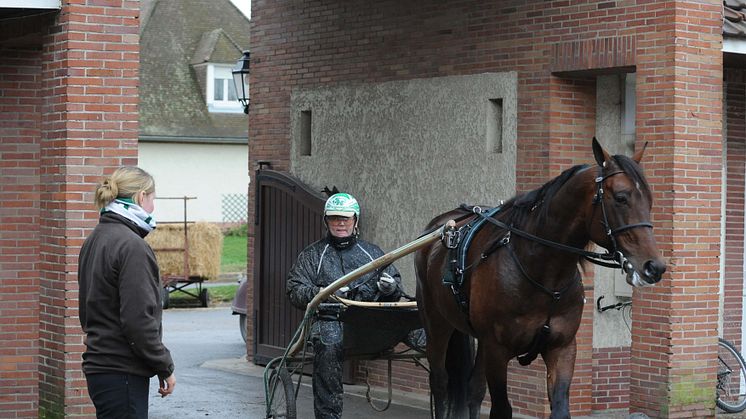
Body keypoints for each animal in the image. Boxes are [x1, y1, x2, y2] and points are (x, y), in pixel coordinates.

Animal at [412, 139, 664, 418]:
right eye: (621, 197)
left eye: (650, 200)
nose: (654, 266)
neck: (543, 274)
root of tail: (441, 226)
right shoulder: (498, 350)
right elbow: (501, 408)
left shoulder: (562, 347)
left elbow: (560, 407)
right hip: (437, 324)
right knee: (440, 382)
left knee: (474, 389)